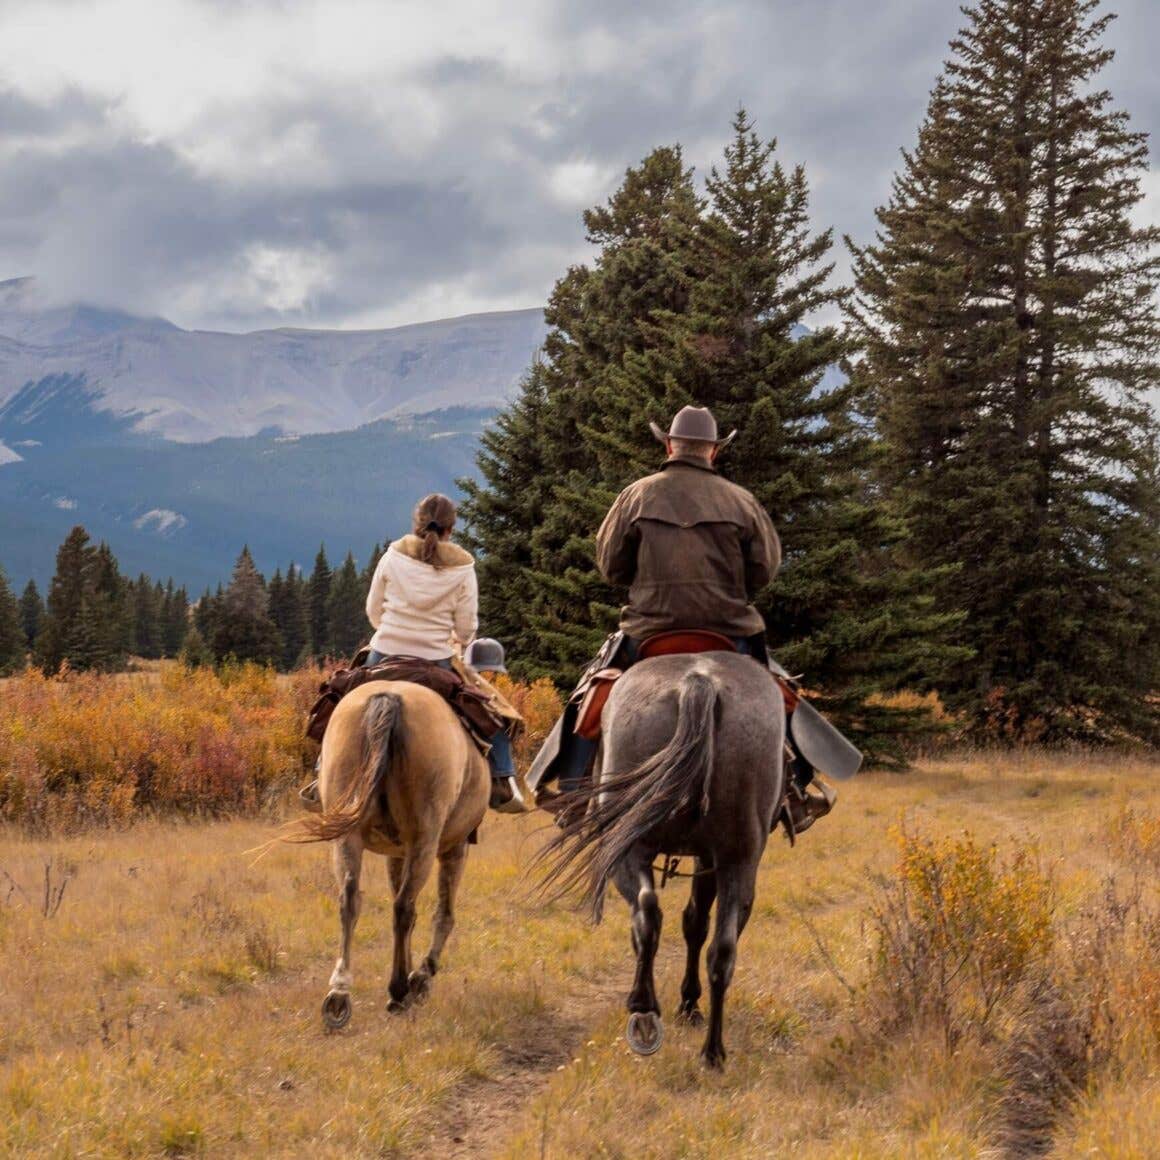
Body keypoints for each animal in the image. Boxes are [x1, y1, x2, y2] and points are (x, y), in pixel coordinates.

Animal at [290, 677, 494, 1025]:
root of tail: (388, 699)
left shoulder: (396, 853)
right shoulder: (454, 847)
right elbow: (443, 914)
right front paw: (421, 976)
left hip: (348, 837)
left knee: (350, 899)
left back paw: (339, 994)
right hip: (425, 841)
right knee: (404, 908)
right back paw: (399, 990)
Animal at [538, 649, 784, 1062]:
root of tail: (698, 683)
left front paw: (681, 1004)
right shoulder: (710, 861)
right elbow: (696, 923)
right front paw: (688, 1005)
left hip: (630, 849)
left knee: (648, 913)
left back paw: (646, 1007)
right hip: (737, 860)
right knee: (720, 948)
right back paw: (712, 1052)